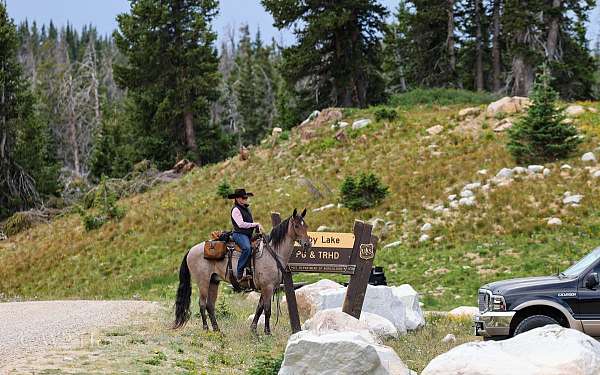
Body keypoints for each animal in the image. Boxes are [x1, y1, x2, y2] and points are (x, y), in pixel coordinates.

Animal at [170, 210, 308, 336]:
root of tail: (191, 250)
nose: (307, 244)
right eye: (296, 226)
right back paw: (206, 329)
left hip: (213, 281)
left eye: (305, 226)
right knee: (202, 304)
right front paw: (267, 332)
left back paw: (217, 330)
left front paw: (253, 330)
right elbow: (267, 310)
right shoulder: (267, 287)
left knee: (210, 305)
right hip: (203, 282)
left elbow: (259, 308)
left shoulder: (268, 288)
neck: (272, 253)